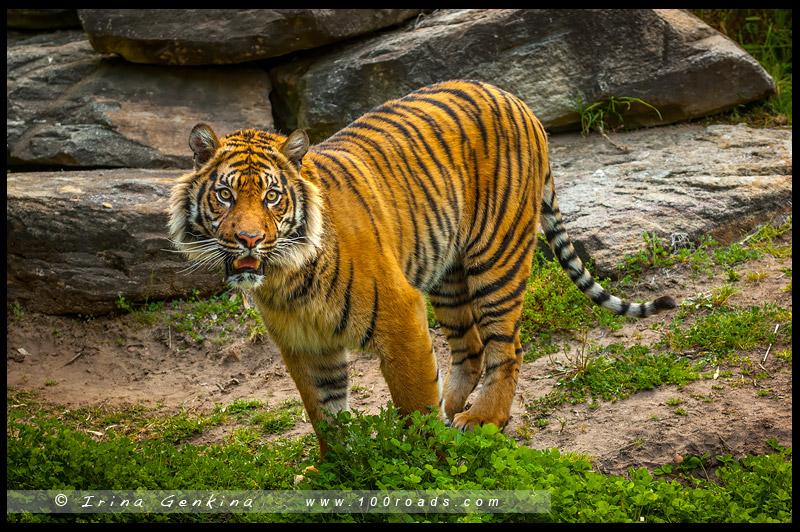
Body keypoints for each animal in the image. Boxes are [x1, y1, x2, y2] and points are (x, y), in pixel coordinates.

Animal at [170, 81, 676, 456]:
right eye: (225, 195)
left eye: (273, 196)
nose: (249, 239)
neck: (284, 276)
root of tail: (518, 101)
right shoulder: (304, 344)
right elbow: (325, 414)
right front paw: (335, 470)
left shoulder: (398, 315)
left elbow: (414, 400)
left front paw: (425, 458)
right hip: (447, 274)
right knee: (469, 348)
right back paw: (452, 410)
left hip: (497, 257)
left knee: (507, 347)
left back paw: (482, 419)